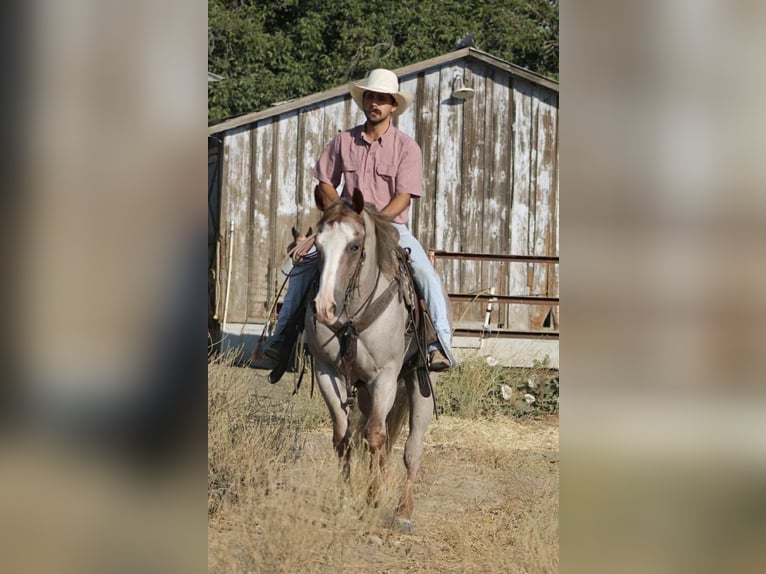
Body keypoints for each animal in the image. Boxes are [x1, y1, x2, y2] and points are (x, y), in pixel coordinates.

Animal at [304, 187, 439, 532]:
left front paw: (374, 499)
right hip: (364, 389)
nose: (324, 308)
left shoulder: (386, 376)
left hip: (419, 384)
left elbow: (376, 435)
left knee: (412, 447)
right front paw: (345, 500)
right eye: (317, 245)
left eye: (354, 246)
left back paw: (403, 512)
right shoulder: (327, 372)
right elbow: (343, 436)